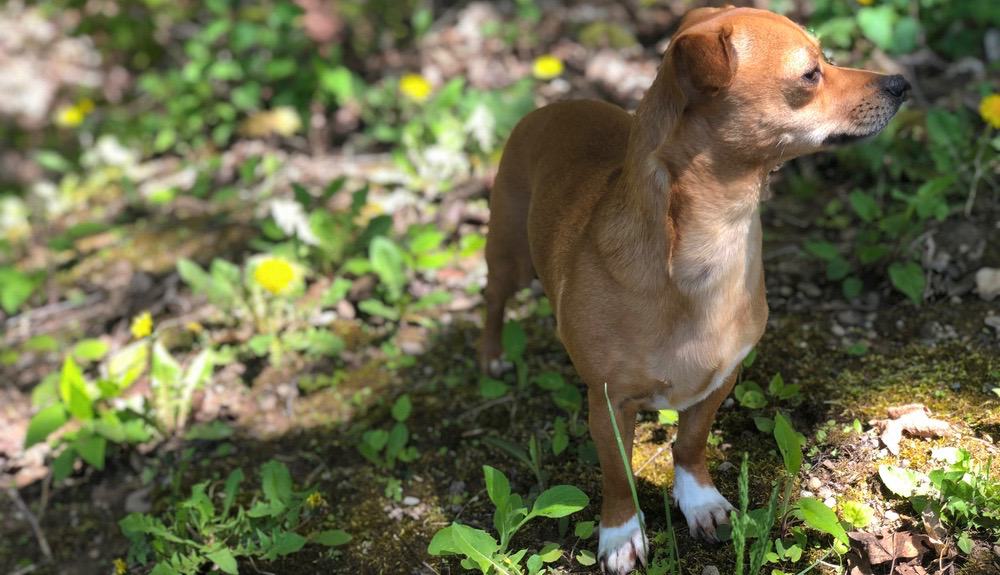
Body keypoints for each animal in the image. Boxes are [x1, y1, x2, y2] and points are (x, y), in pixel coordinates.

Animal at [480, 5, 912, 575]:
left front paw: (699, 501)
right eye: (810, 74)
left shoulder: (720, 380)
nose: (901, 82)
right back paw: (491, 356)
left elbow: (690, 443)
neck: (717, 241)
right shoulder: (609, 405)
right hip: (508, 253)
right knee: (492, 299)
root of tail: (555, 104)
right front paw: (620, 533)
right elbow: (617, 474)